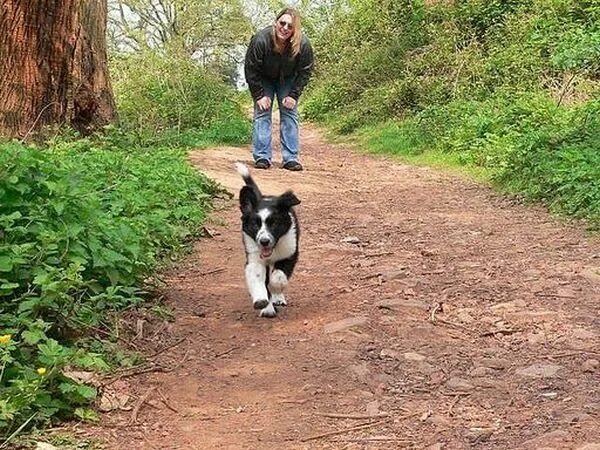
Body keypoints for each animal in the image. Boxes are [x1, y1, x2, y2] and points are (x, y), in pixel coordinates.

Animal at [234, 163, 300, 318]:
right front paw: (262, 301)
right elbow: (258, 277)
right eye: (254, 225)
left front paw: (276, 291)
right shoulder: (254, 258)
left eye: (274, 224)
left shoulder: (290, 253)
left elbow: (278, 277)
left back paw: (278, 298)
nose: (264, 241)